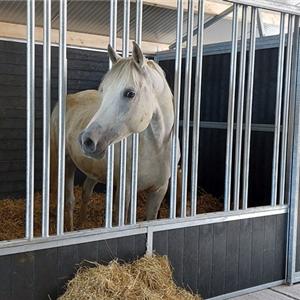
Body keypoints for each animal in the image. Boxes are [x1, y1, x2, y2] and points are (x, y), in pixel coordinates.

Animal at [50, 42, 179, 230]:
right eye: (103, 92)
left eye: (130, 93)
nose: (86, 140)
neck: (157, 147)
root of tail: (68, 98)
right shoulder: (125, 190)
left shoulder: (159, 191)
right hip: (64, 161)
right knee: (67, 200)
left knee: (85, 192)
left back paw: (81, 225)